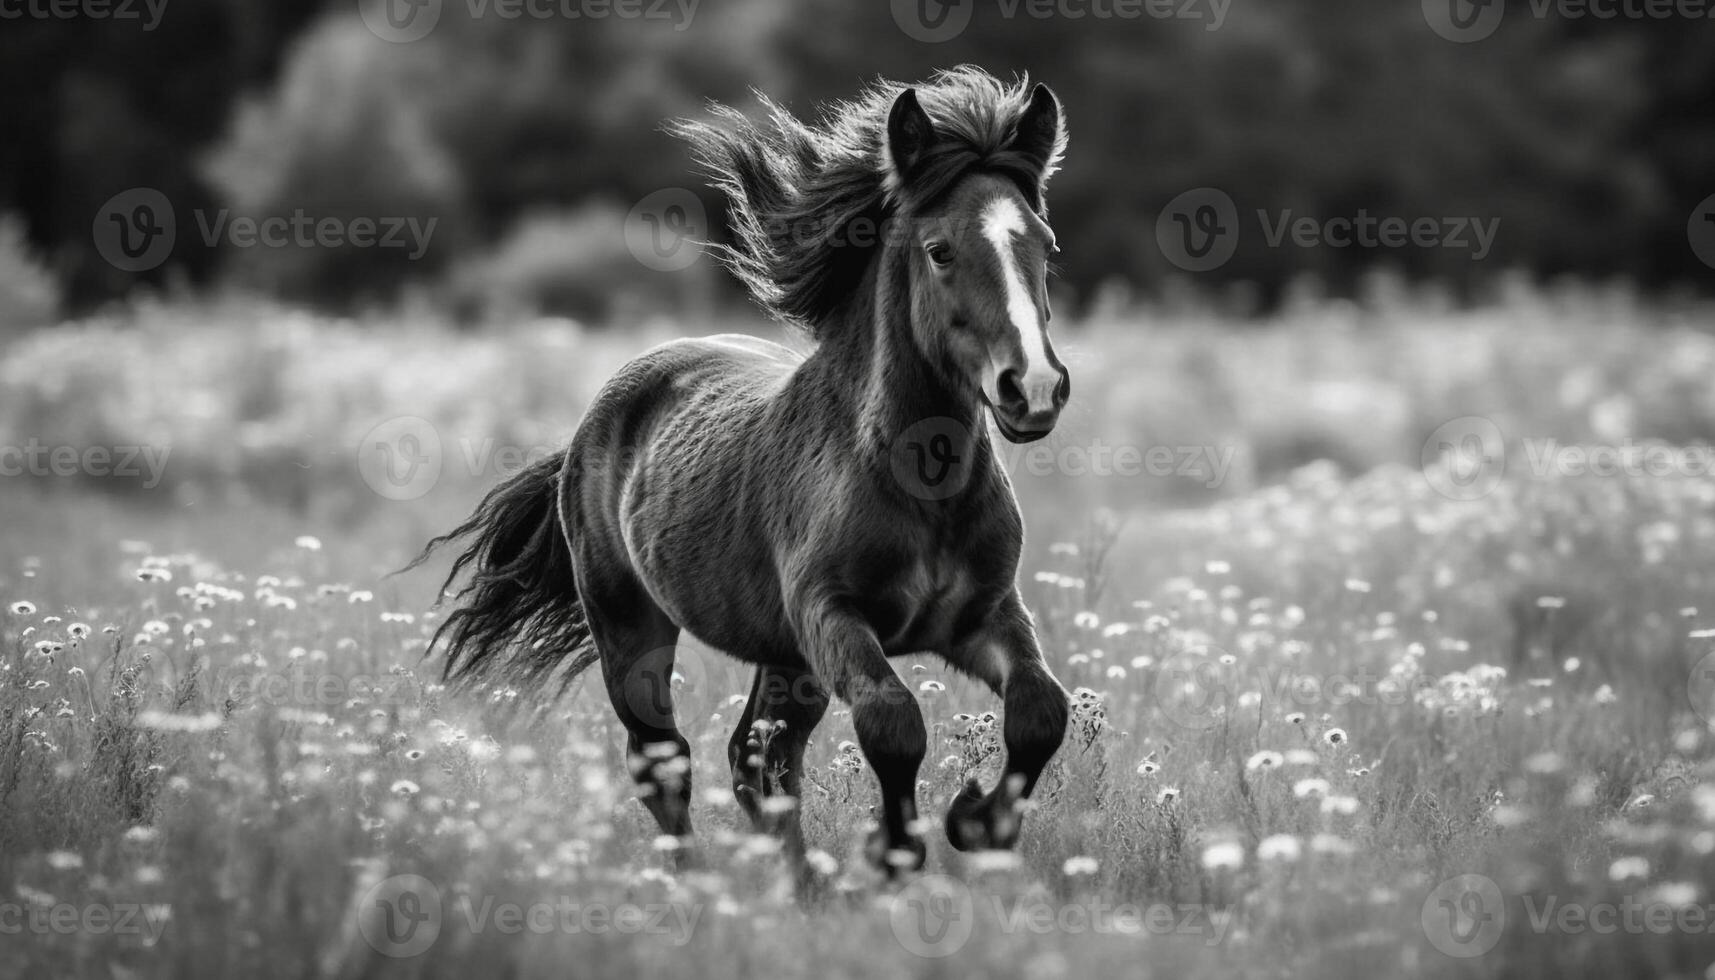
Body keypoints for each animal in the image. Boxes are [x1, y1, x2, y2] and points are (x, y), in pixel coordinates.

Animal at [413, 69, 1070, 878]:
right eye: (940, 250)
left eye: (1045, 244)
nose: (1032, 389)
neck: (921, 484)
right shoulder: (832, 616)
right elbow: (893, 722)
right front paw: (897, 850)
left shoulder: (985, 614)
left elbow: (1040, 711)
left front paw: (977, 823)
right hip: (632, 627)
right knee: (665, 759)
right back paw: (699, 884)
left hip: (784, 661)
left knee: (758, 759)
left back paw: (799, 884)